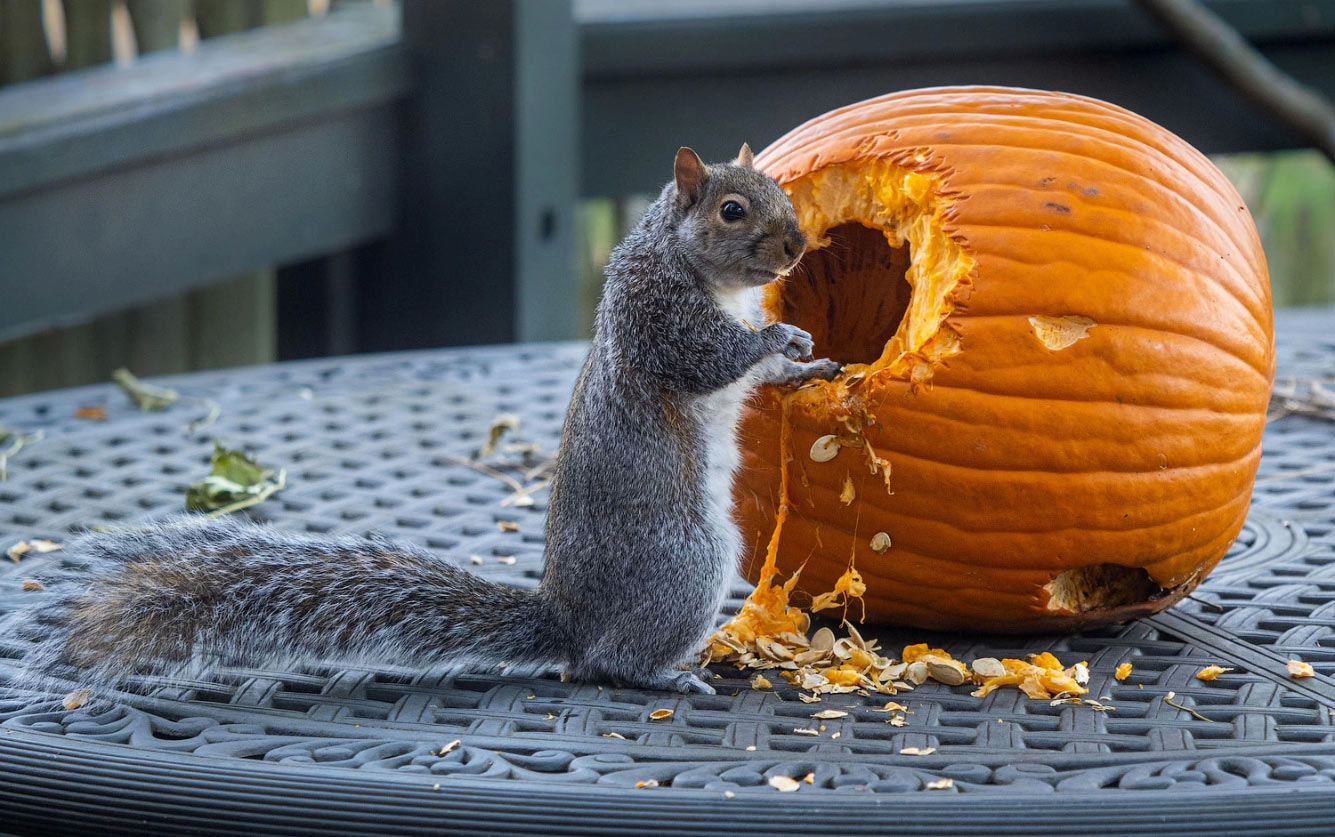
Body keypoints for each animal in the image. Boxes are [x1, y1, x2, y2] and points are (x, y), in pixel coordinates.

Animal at [18, 144, 833, 694]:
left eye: (777, 191)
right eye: (732, 210)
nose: (797, 246)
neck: (689, 263)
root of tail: (568, 618)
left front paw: (810, 366)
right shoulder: (657, 317)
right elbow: (710, 358)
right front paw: (779, 338)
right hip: (686, 559)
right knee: (609, 661)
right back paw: (663, 673)